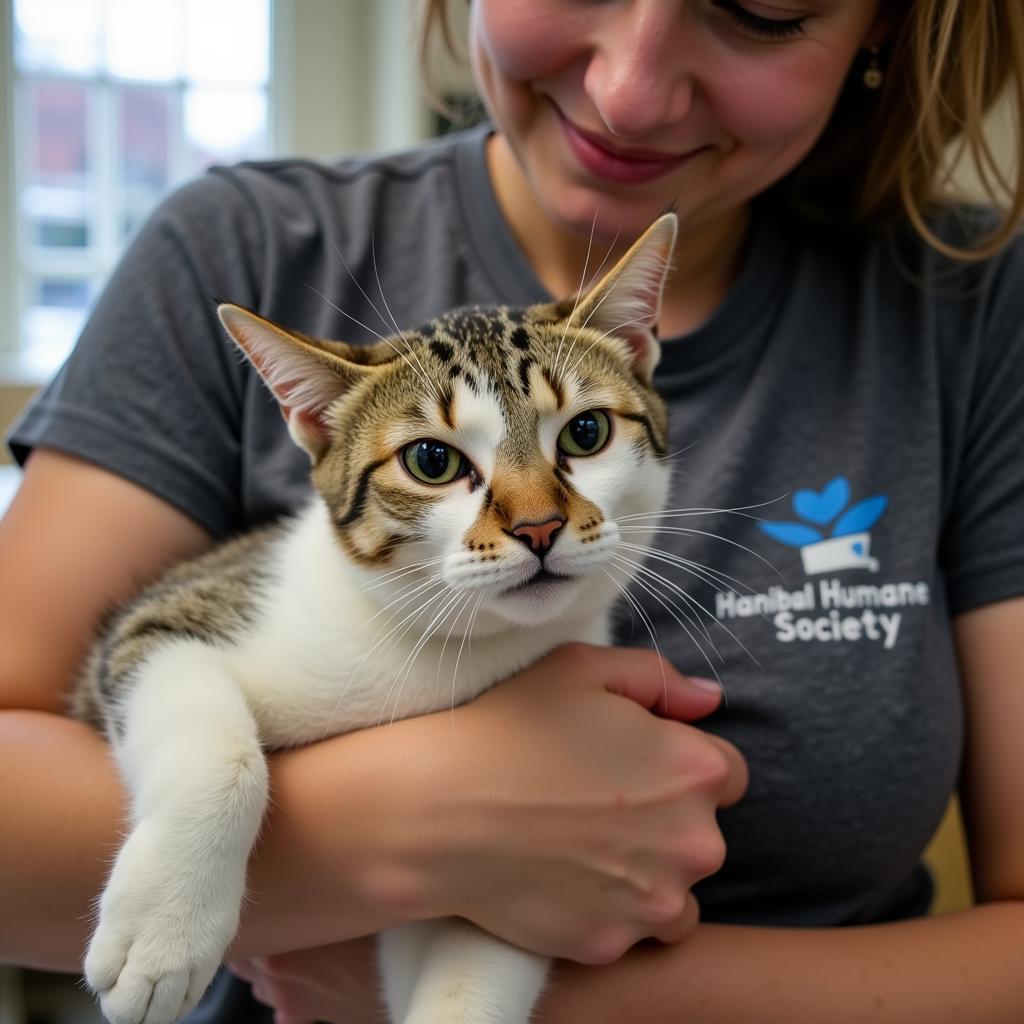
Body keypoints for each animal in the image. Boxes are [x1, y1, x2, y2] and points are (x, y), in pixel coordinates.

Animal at [74, 209, 679, 1024]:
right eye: (431, 461)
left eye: (586, 434)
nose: (540, 527)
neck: (437, 651)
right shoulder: (164, 616)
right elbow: (220, 747)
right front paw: (165, 933)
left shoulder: (518, 885)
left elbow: (492, 943)